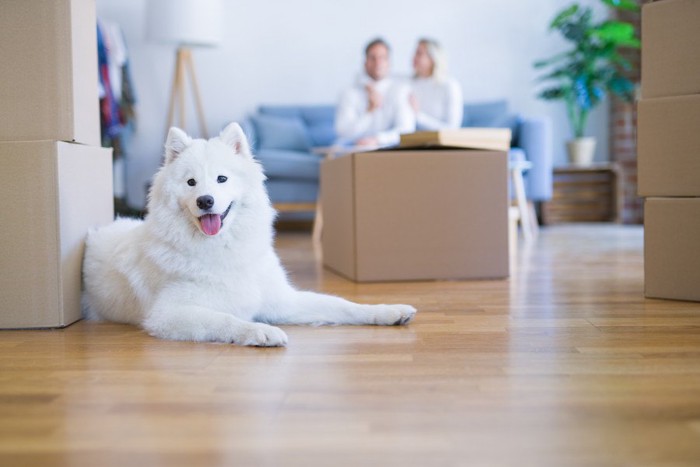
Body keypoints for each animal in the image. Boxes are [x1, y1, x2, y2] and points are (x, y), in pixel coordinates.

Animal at [85, 122, 418, 346]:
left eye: (221, 179)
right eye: (191, 182)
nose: (205, 201)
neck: (222, 247)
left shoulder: (282, 301)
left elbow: (341, 305)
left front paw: (388, 311)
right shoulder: (169, 314)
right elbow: (225, 319)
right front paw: (261, 331)